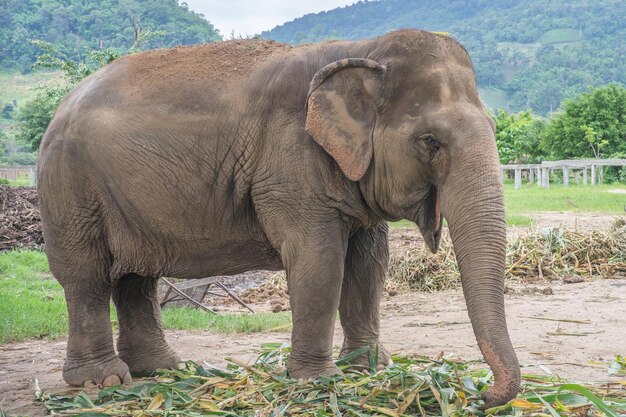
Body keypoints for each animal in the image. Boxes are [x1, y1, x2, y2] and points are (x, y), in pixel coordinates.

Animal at [36, 29, 520, 406]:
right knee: (87, 277)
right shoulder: (289, 164)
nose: (482, 395)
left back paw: (164, 371)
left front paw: (367, 371)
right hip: (70, 189)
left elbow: (370, 263)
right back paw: (104, 380)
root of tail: (61, 107)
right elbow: (319, 260)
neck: (361, 50)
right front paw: (319, 381)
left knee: (136, 277)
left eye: (495, 129)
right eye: (430, 141)